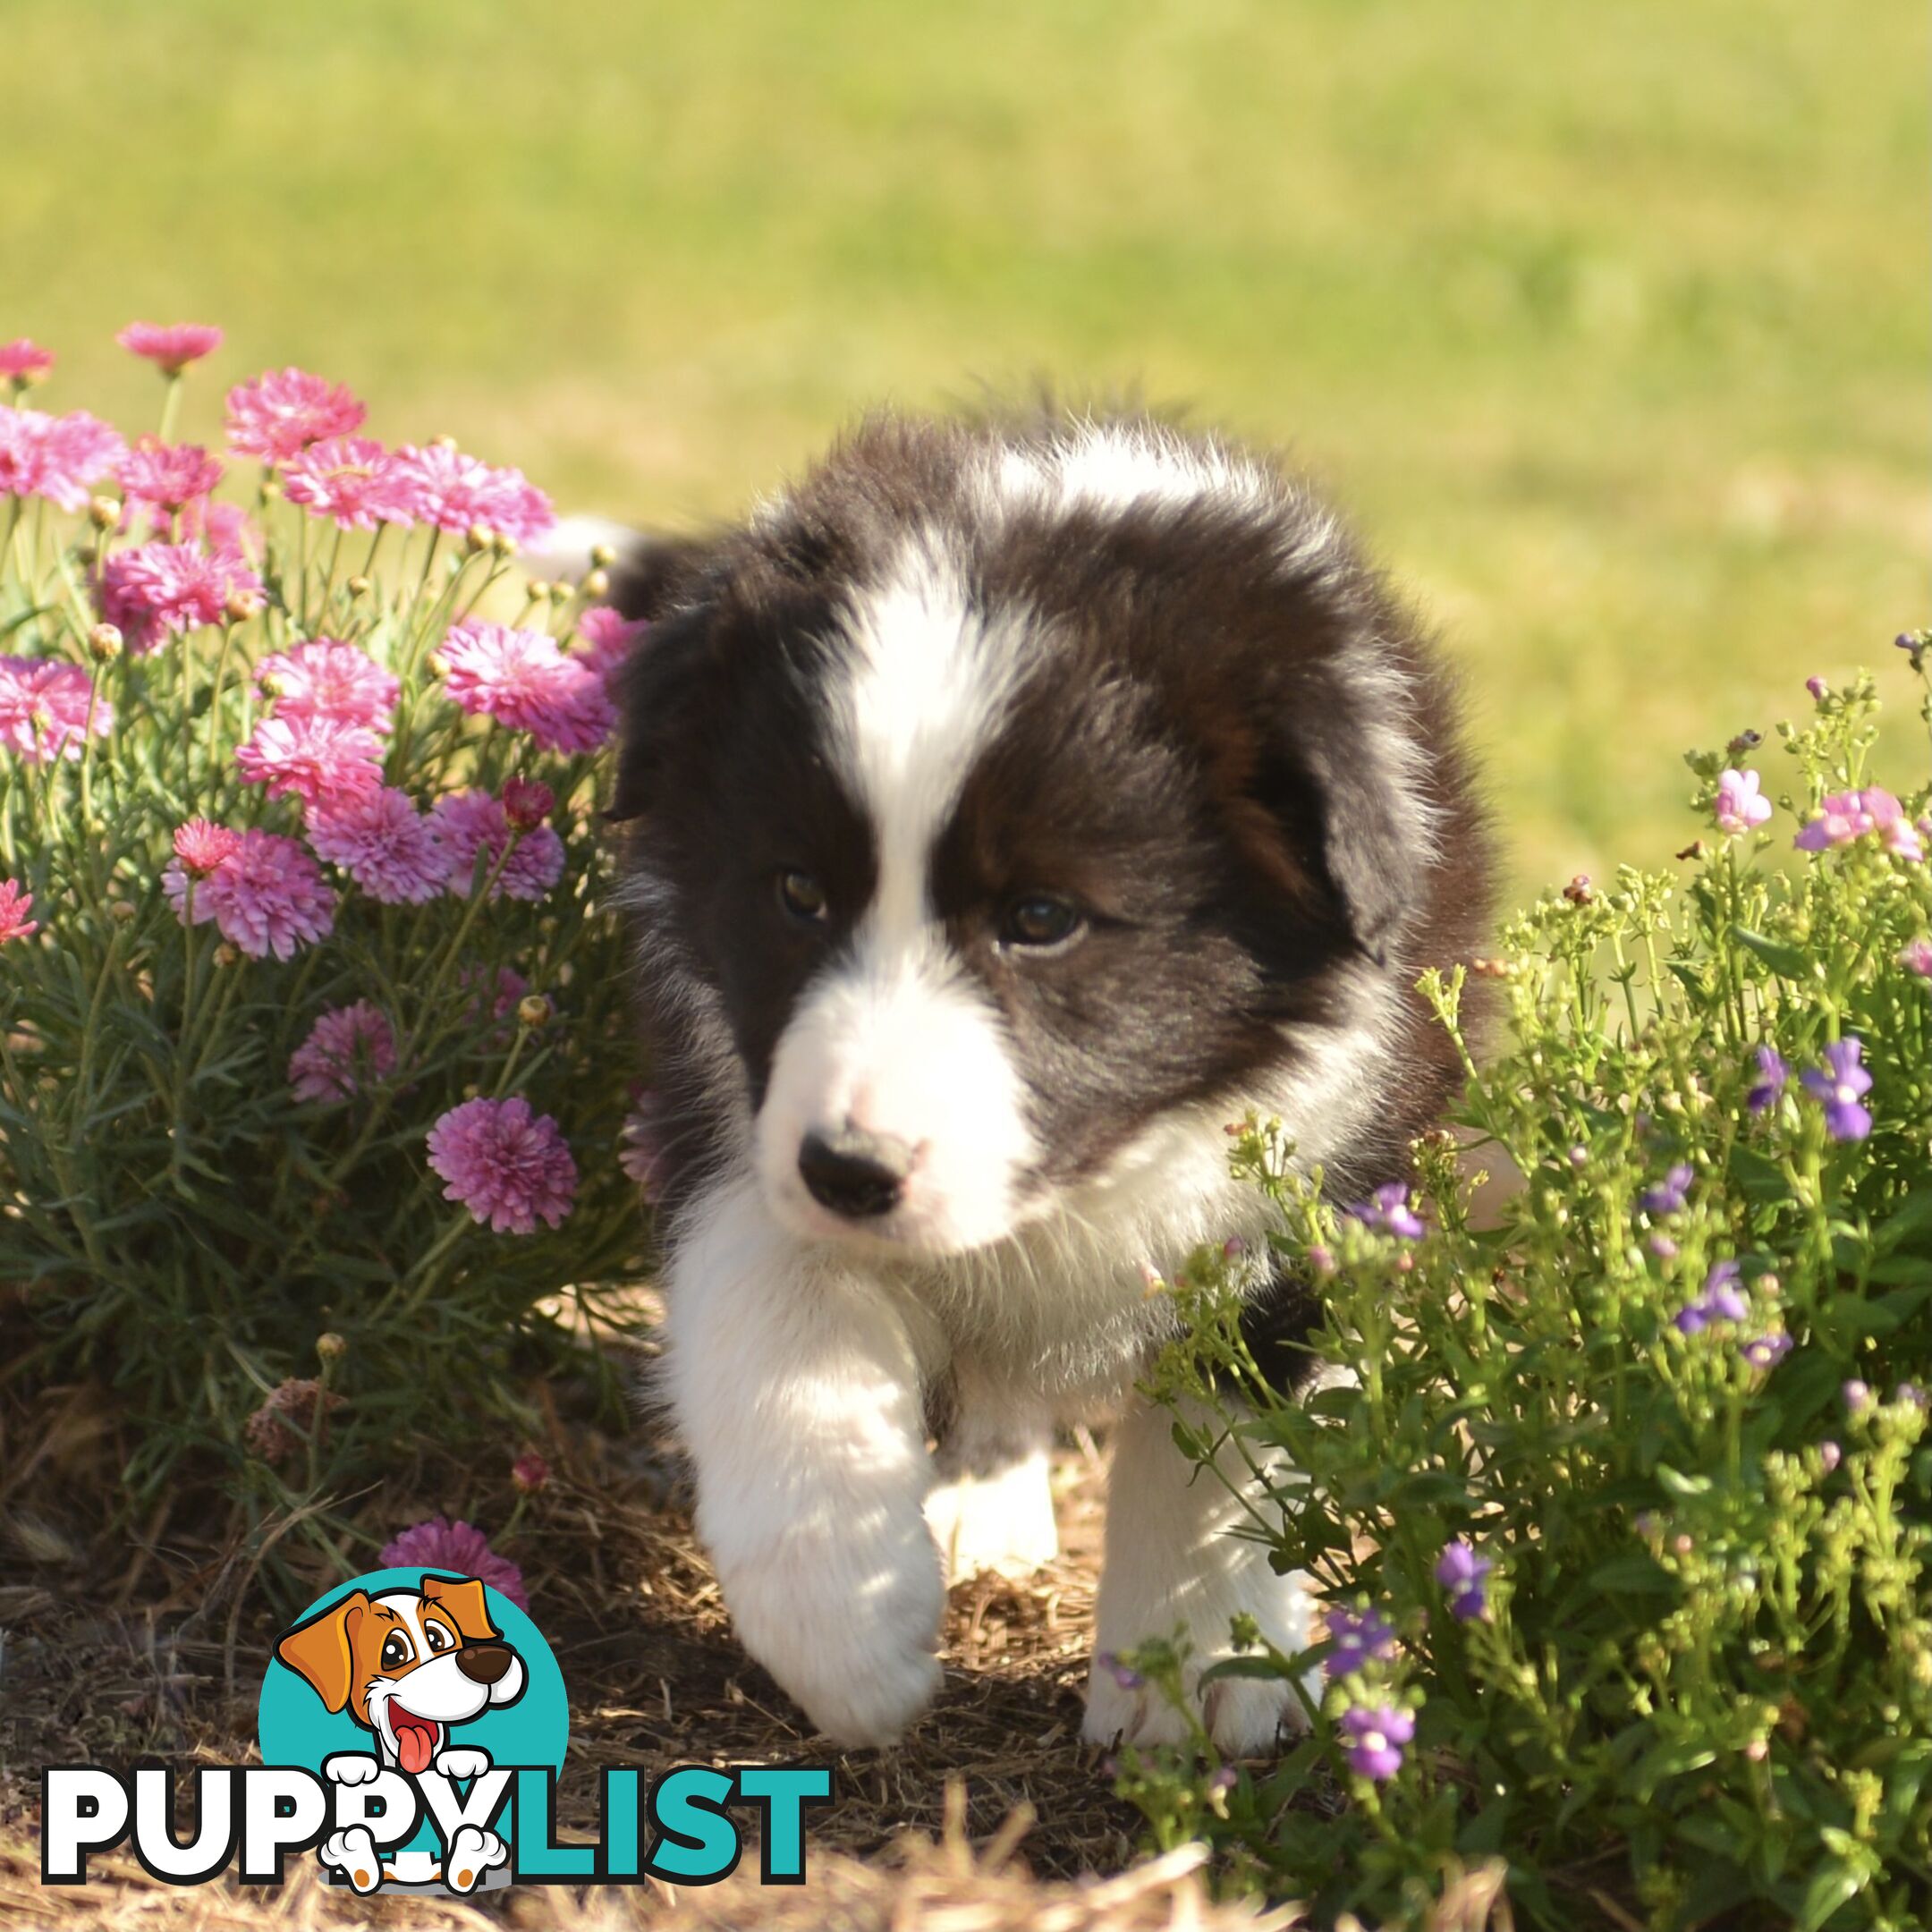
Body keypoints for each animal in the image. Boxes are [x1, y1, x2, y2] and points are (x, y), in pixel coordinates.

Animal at [602, 407, 1491, 1754]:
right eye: (796, 892)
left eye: (1042, 918)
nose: (852, 1172)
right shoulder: (732, 1102)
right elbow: (777, 1321)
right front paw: (848, 1636)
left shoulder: (1340, 1148)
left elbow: (1226, 1442)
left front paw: (1195, 1679)